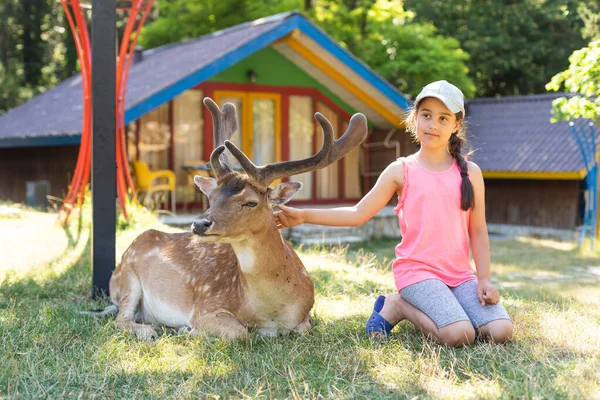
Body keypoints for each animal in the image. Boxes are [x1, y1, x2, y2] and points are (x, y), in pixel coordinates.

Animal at [89, 97, 368, 340]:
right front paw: (187, 331)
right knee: (120, 319)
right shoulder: (205, 307)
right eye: (211, 198)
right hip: (128, 277)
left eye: (250, 202)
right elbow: (240, 333)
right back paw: (151, 330)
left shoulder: (305, 315)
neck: (271, 312)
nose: (199, 223)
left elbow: (303, 329)